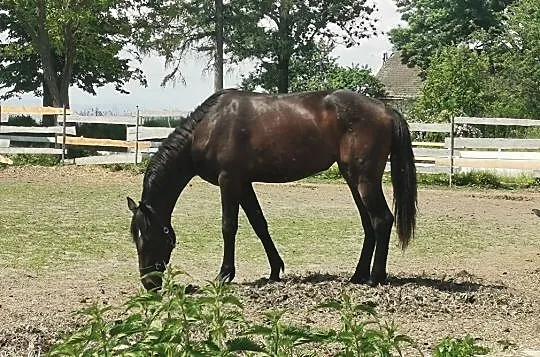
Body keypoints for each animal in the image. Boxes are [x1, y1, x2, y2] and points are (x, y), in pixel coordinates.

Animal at [126, 88, 418, 290]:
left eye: (148, 237)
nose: (149, 284)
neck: (208, 127)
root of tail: (386, 110)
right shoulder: (243, 184)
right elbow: (259, 224)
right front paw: (275, 270)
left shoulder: (229, 180)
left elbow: (228, 227)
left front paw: (224, 275)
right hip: (353, 179)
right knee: (369, 224)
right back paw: (358, 275)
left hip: (364, 179)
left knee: (382, 220)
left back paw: (374, 277)